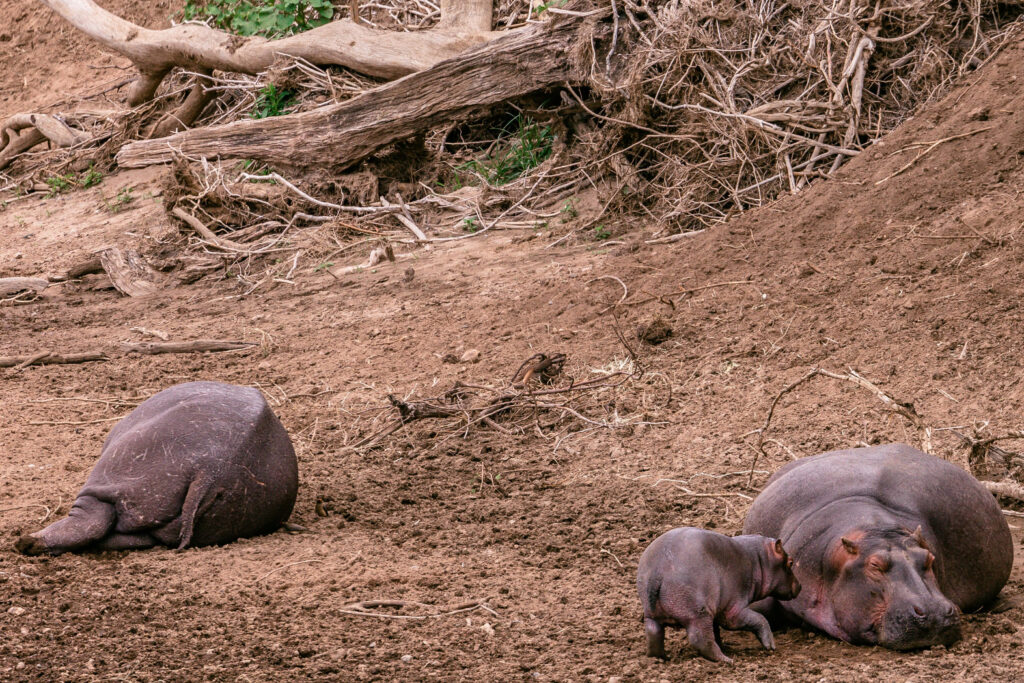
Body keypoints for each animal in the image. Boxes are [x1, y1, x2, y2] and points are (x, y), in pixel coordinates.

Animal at [637, 527, 801, 663]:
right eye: (791, 562)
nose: (800, 586)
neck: (758, 560)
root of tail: (658, 570)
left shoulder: (716, 610)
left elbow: (716, 631)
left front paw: (725, 646)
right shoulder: (732, 610)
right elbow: (759, 619)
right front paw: (771, 646)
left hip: (652, 614)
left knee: (653, 633)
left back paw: (661, 659)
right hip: (697, 614)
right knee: (700, 639)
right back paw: (726, 660)